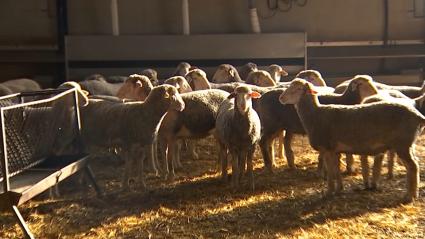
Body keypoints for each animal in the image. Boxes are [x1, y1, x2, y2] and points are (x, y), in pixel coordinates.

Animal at [278, 79, 420, 202]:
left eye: (298, 89)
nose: (281, 98)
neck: (315, 115)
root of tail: (418, 116)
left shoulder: (327, 149)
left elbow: (330, 173)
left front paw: (329, 192)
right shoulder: (335, 150)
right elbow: (336, 170)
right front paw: (339, 189)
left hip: (402, 144)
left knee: (413, 167)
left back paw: (409, 196)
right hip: (408, 145)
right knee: (413, 166)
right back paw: (413, 193)